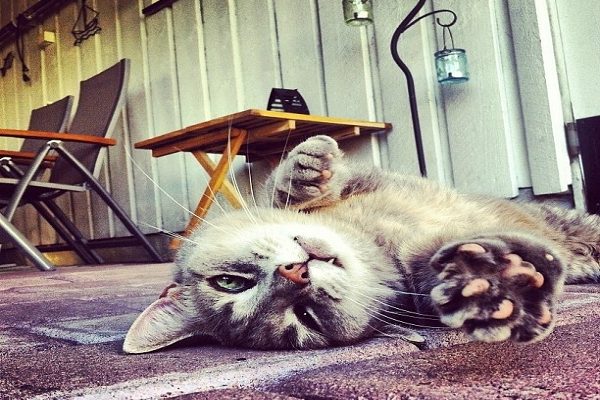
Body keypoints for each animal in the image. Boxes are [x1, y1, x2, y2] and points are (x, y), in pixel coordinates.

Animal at [123, 135, 600, 353]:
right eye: (305, 318)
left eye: (229, 282)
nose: (295, 273)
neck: (372, 241)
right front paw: (486, 284)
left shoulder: (368, 183)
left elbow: (288, 190)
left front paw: (303, 171)